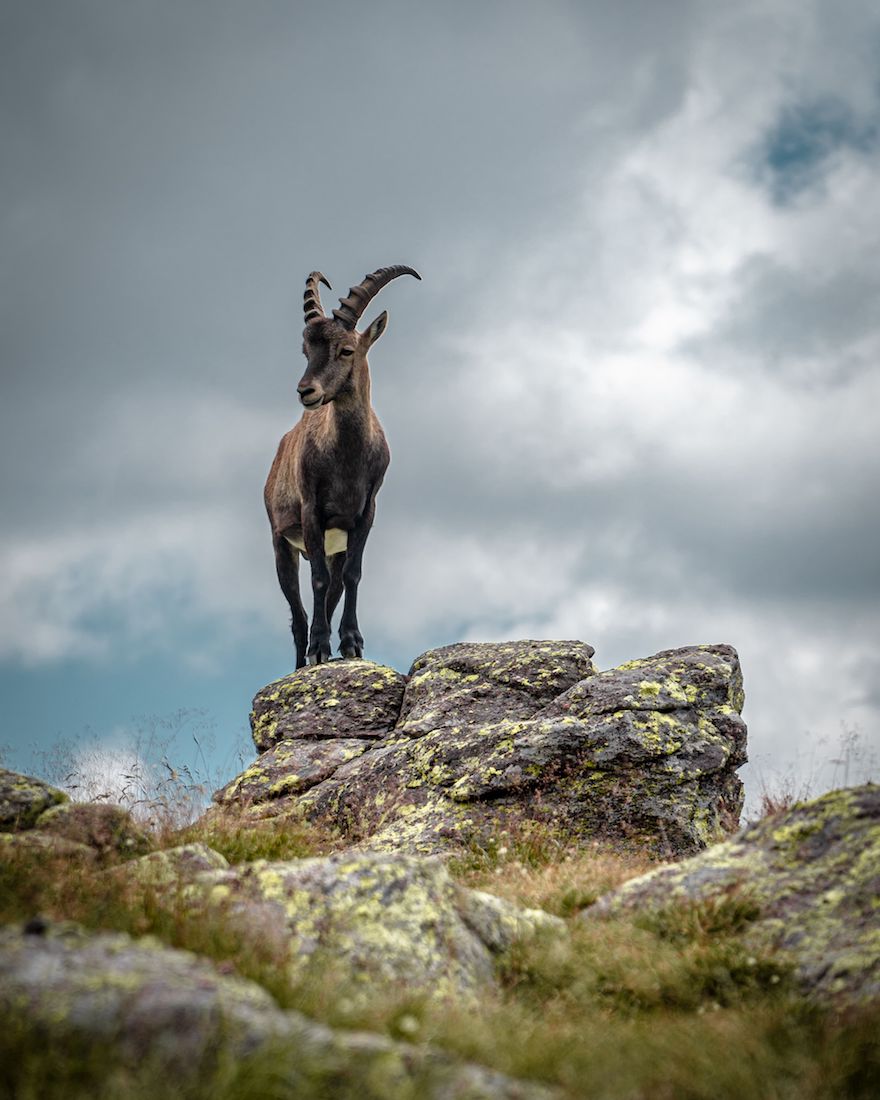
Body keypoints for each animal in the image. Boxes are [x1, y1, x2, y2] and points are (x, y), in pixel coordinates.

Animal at [265, 261, 420, 664]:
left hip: (334, 542)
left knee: (331, 593)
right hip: (282, 543)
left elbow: (353, 574)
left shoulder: (364, 513)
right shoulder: (312, 511)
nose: (306, 391)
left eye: (346, 350)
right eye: (306, 350)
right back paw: (303, 659)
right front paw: (321, 647)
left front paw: (351, 642)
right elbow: (316, 581)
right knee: (298, 614)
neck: (347, 460)